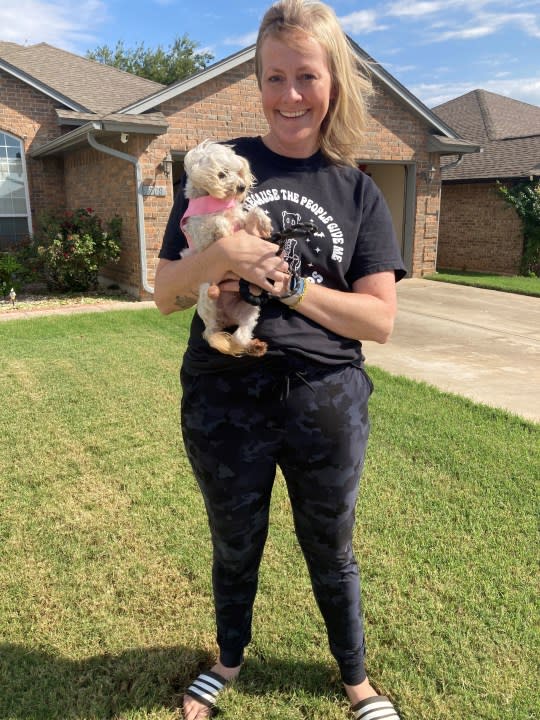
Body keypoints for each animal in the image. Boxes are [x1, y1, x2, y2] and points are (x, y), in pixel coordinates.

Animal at [180, 140, 272, 358]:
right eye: (222, 174)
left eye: (238, 171)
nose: (242, 186)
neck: (217, 203)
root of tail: (227, 318)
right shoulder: (202, 239)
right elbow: (216, 222)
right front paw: (224, 231)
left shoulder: (242, 222)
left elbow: (253, 212)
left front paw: (264, 222)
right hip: (206, 296)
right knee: (211, 330)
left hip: (250, 311)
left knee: (240, 336)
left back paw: (254, 346)